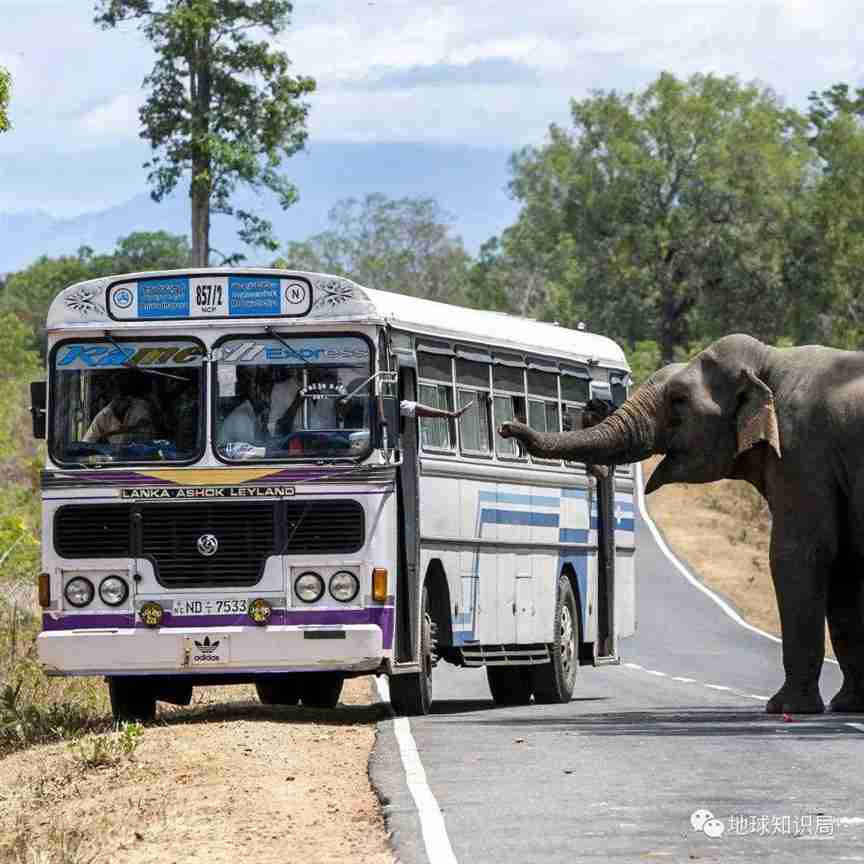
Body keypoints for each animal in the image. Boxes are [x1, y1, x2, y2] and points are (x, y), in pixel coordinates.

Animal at [500, 334, 864, 712]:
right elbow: (843, 564)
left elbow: (800, 554)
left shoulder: (801, 451)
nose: (506, 425)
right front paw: (847, 704)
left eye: (678, 399)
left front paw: (785, 708)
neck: (769, 361)